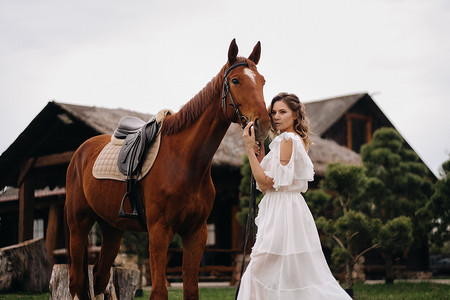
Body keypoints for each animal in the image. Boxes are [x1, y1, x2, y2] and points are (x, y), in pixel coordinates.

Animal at [64, 39, 268, 300]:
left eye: (262, 81)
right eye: (235, 81)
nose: (264, 123)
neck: (183, 163)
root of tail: (80, 151)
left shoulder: (196, 233)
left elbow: (191, 290)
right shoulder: (160, 232)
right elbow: (159, 291)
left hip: (111, 228)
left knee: (99, 277)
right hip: (78, 225)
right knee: (77, 280)